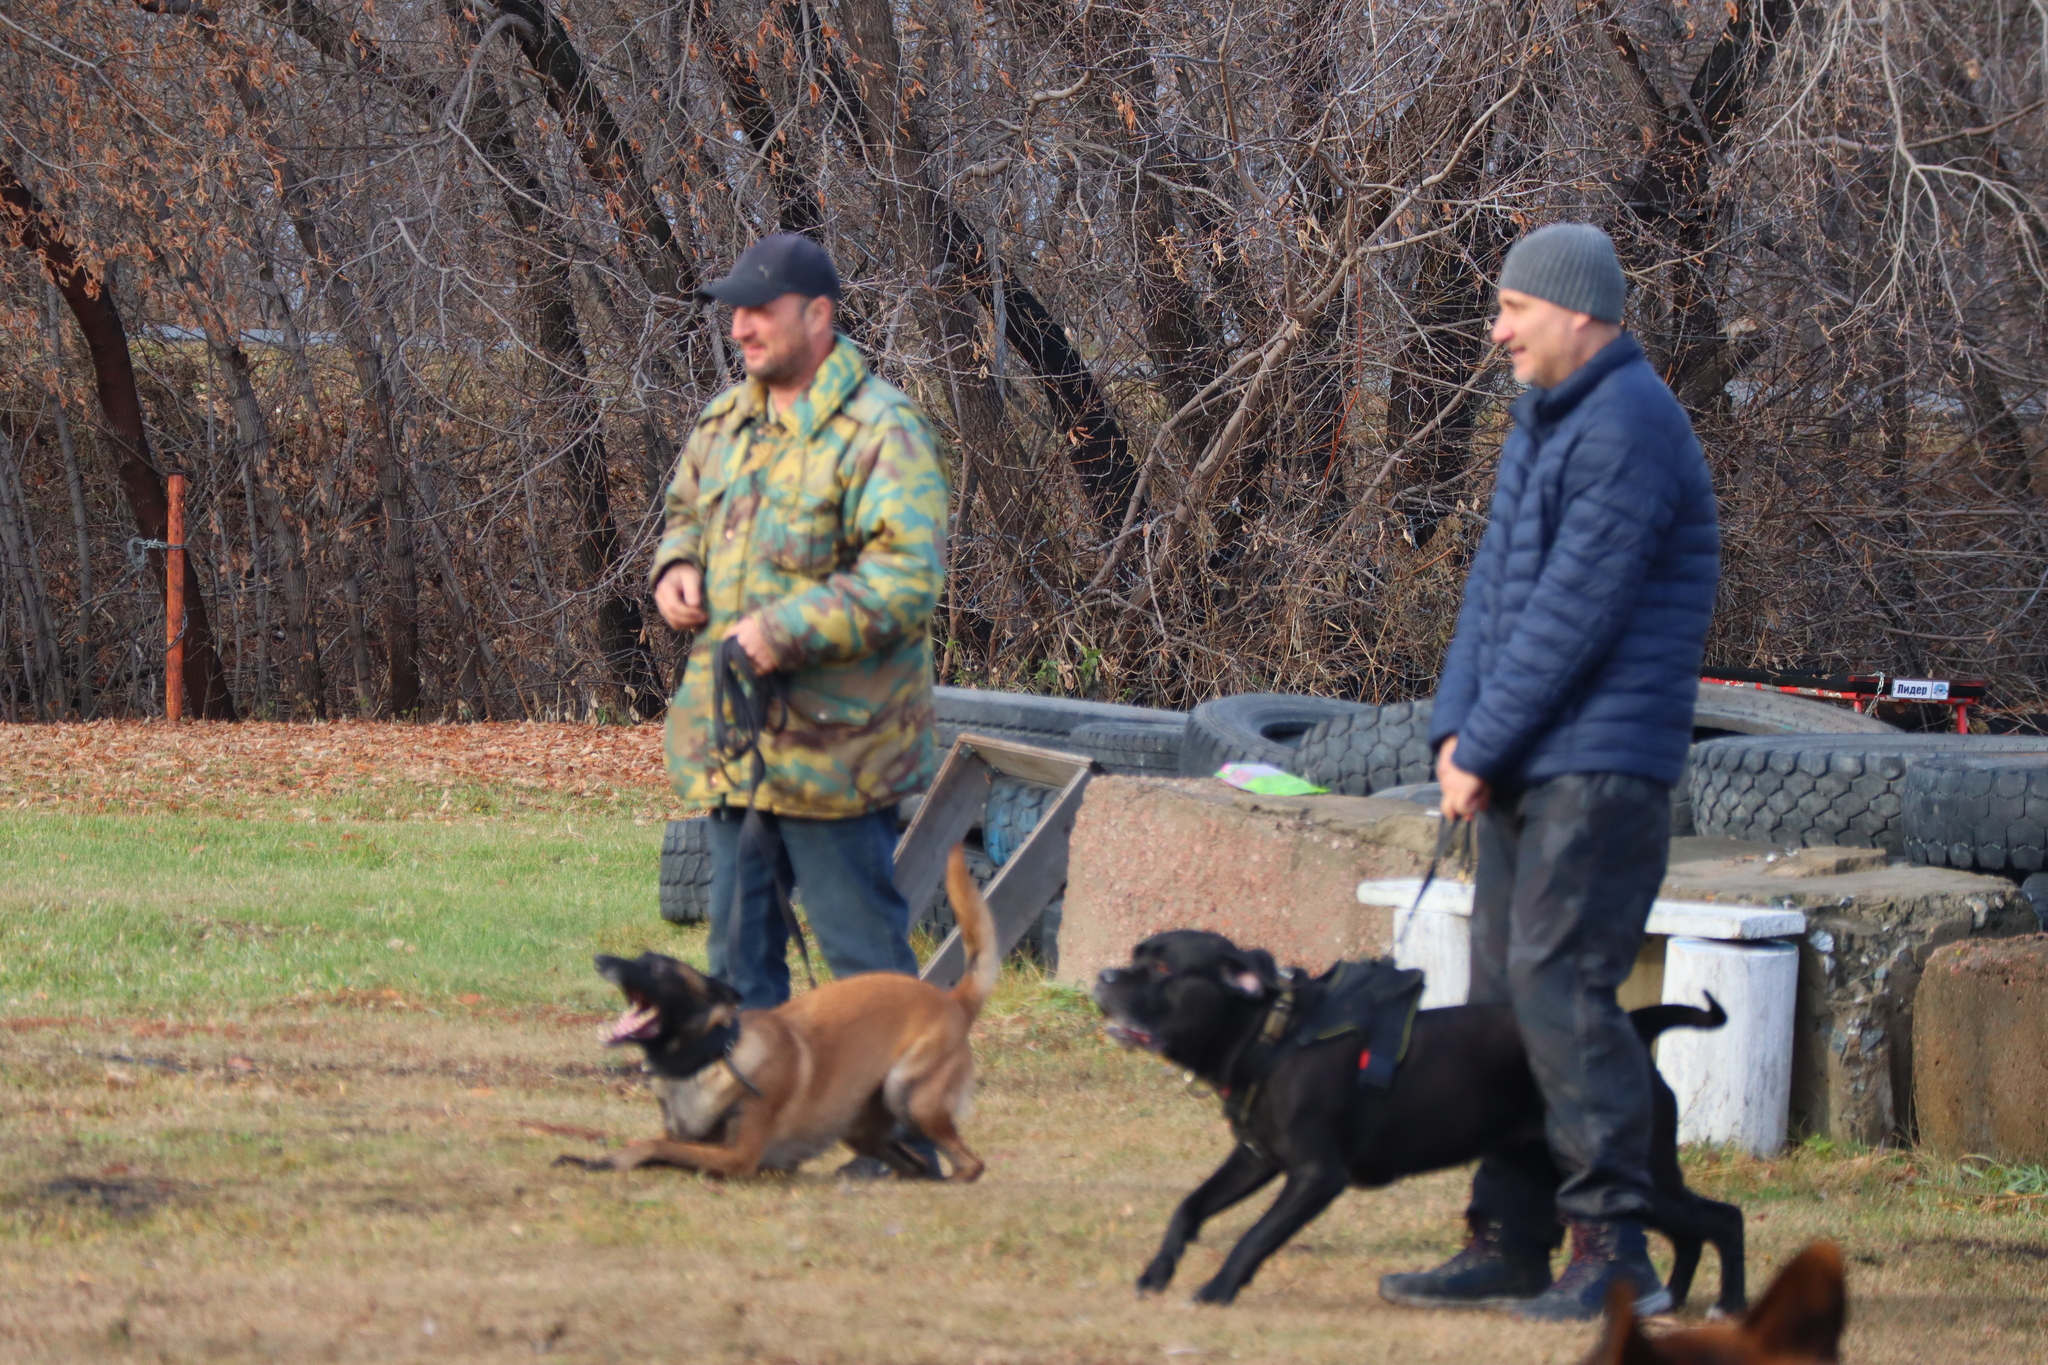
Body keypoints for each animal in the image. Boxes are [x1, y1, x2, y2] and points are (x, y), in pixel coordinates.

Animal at [569, 843, 999, 1186]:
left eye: (658, 969)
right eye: (638, 958)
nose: (600, 959)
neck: (710, 1059)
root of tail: (952, 1000)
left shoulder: (737, 1157)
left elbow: (652, 1146)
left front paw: (613, 1160)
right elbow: (656, 1144)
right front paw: (589, 1157)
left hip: (907, 1092)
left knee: (971, 1163)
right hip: (860, 1126)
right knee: (914, 1165)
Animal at [1089, 933, 1744, 1309]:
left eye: (1163, 971)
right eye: (1135, 959)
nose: (1105, 976)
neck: (1269, 1034)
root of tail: (1635, 1025)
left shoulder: (1315, 1176)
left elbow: (1255, 1236)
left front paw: (1218, 1290)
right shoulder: (1255, 1158)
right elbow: (1189, 1207)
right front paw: (1156, 1274)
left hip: (1633, 1175)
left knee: (1723, 1219)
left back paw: (1729, 1306)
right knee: (1693, 1230)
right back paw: (1672, 1301)